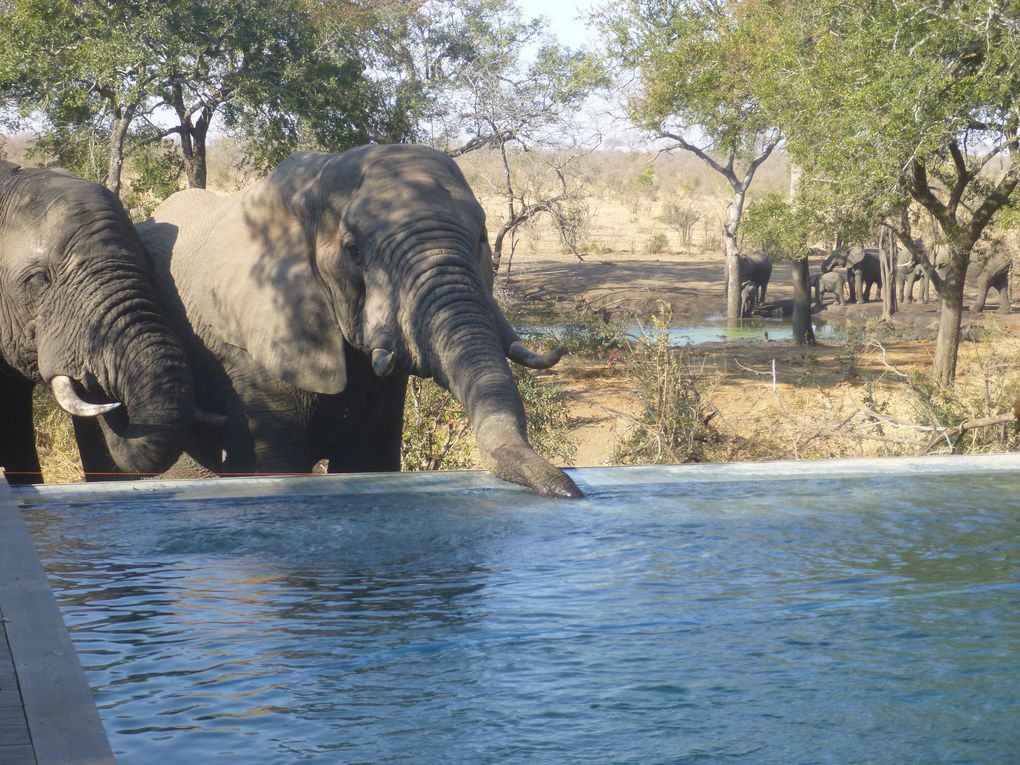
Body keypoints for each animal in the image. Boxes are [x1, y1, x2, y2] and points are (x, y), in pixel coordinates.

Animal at [137, 145, 583, 499]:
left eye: (480, 239)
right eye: (353, 250)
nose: (570, 488)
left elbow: (369, 458)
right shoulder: (246, 351)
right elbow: (272, 463)